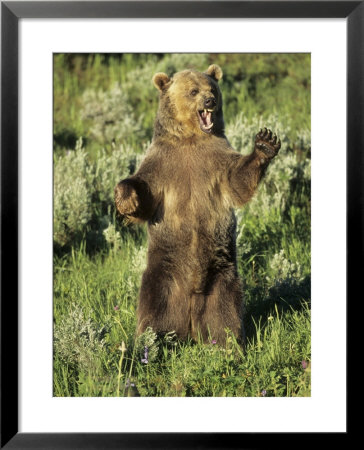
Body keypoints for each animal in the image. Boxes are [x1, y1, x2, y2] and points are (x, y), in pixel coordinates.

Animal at [115, 64, 280, 344]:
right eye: (193, 91)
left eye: (211, 88)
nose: (210, 101)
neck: (190, 138)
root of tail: (190, 316)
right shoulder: (162, 163)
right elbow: (145, 193)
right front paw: (126, 198)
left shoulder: (216, 159)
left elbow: (237, 180)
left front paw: (265, 143)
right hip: (164, 270)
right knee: (153, 306)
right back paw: (154, 340)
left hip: (222, 273)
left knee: (225, 310)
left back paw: (228, 343)